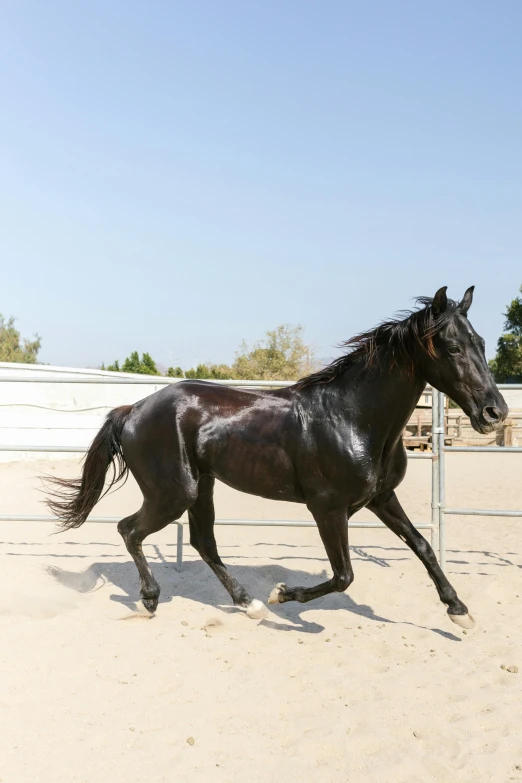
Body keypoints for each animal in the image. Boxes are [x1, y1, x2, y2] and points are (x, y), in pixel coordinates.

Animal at [46, 284, 506, 628]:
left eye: (481, 343)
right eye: (451, 348)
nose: (495, 412)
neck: (352, 418)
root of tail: (132, 410)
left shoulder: (380, 498)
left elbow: (423, 546)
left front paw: (459, 611)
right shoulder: (328, 509)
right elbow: (344, 575)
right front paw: (283, 594)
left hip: (201, 489)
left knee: (202, 542)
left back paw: (248, 604)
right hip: (173, 493)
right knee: (130, 530)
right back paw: (152, 599)